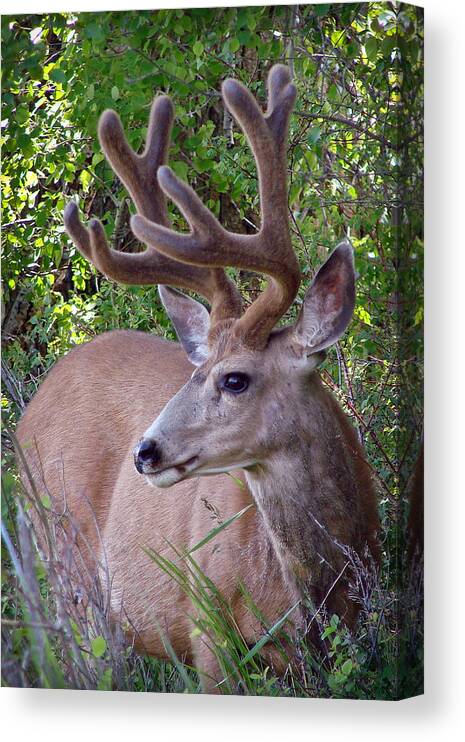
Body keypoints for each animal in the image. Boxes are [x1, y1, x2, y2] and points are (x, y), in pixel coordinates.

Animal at [17, 62, 380, 692]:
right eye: (196, 371)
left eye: (234, 379)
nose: (145, 452)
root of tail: (27, 414)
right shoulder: (209, 635)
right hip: (68, 567)